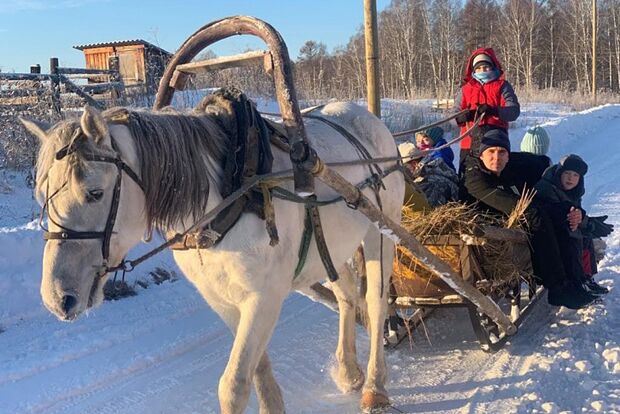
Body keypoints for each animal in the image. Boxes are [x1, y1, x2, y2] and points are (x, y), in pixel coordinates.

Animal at [20, 101, 406, 414]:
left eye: (95, 193)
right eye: (42, 195)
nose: (56, 298)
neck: (232, 195)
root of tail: (366, 115)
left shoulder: (263, 298)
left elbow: (233, 384)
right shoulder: (222, 298)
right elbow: (257, 370)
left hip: (379, 231)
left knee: (375, 303)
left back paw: (374, 387)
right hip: (331, 249)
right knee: (347, 297)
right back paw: (348, 370)